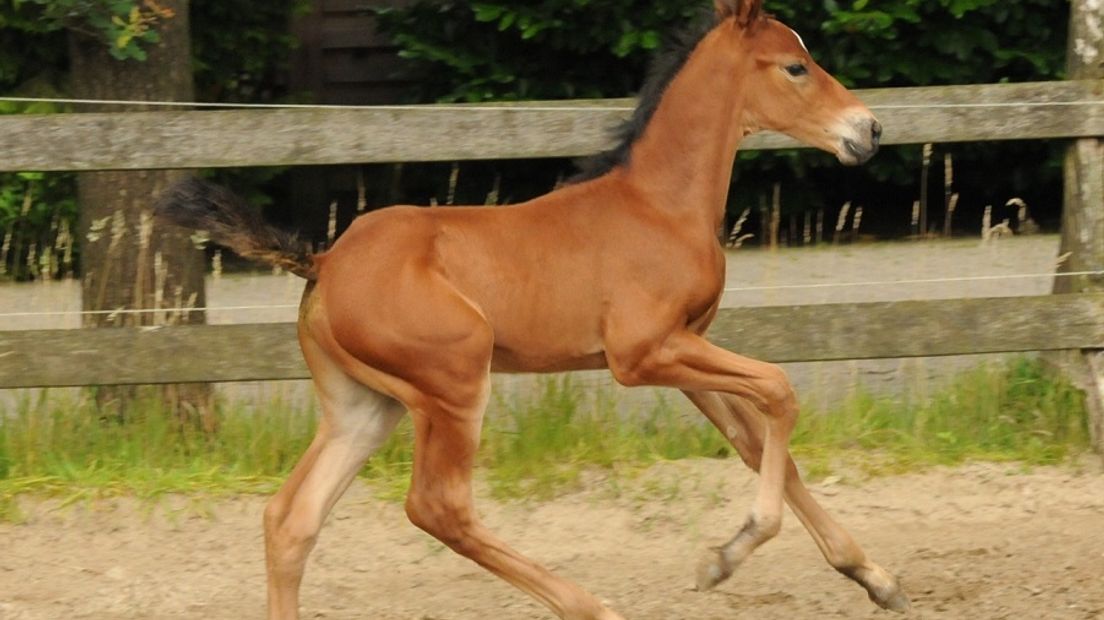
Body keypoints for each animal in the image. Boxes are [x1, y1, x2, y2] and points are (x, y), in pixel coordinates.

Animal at [160, 1, 909, 617]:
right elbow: (780, 392)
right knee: (437, 508)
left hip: (363, 406)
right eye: (795, 66)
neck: (658, 205)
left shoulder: (686, 352)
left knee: (291, 519)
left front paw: (873, 578)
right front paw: (731, 552)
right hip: (456, 382)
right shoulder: (642, 355)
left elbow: (758, 444)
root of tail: (323, 262)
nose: (869, 130)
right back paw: (591, 607)